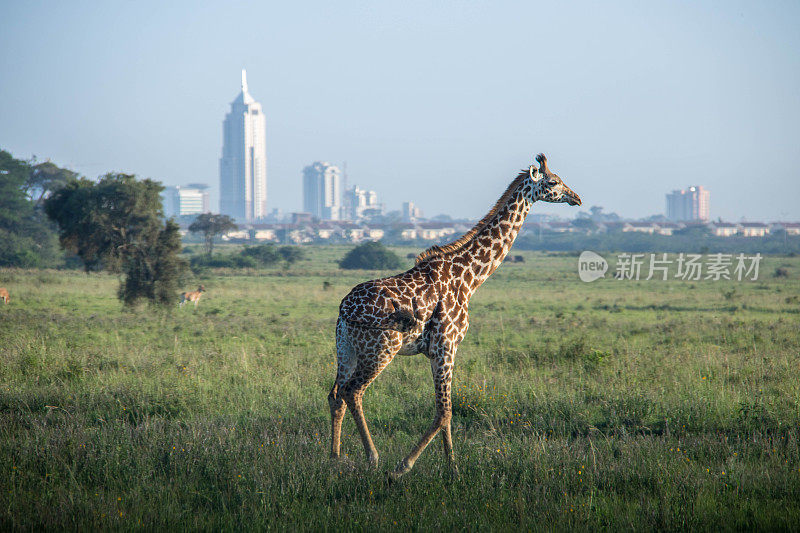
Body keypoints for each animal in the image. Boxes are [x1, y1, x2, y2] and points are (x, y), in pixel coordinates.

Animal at [328, 154, 584, 478]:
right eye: (553, 182)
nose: (576, 198)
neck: (470, 278)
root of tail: (345, 309)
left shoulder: (440, 350)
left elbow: (446, 412)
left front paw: (452, 466)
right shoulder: (445, 346)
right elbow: (444, 411)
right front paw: (405, 466)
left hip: (346, 348)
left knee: (336, 394)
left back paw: (334, 457)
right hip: (381, 348)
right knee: (354, 391)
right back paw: (372, 457)